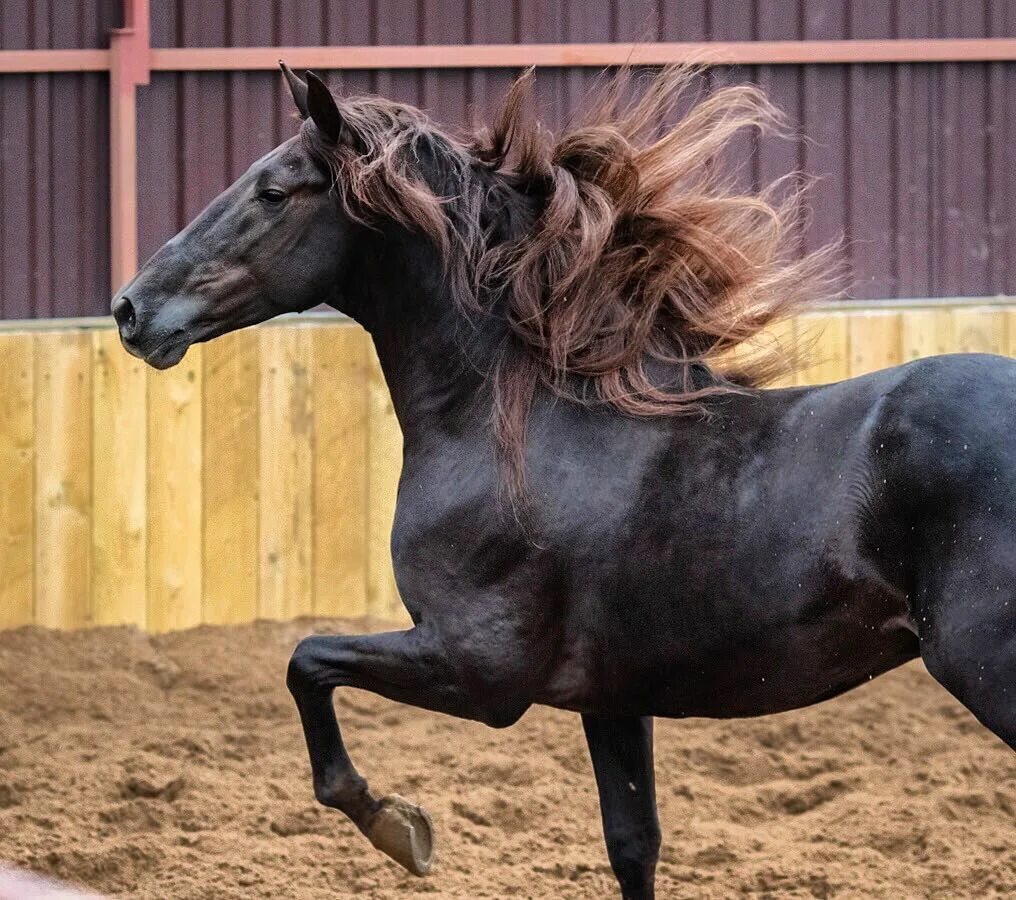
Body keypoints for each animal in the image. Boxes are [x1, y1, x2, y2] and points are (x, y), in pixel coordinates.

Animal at [113, 65, 1016, 900]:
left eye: (271, 192)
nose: (130, 310)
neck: (522, 428)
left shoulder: (480, 670)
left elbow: (306, 662)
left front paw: (400, 829)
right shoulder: (610, 698)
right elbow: (632, 845)